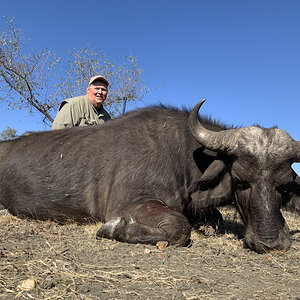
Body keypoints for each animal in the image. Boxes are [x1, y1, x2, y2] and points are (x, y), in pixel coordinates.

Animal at [0, 101, 298, 253]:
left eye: (283, 188)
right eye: (239, 181)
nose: (271, 244)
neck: (185, 155)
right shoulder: (134, 204)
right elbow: (179, 227)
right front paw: (115, 229)